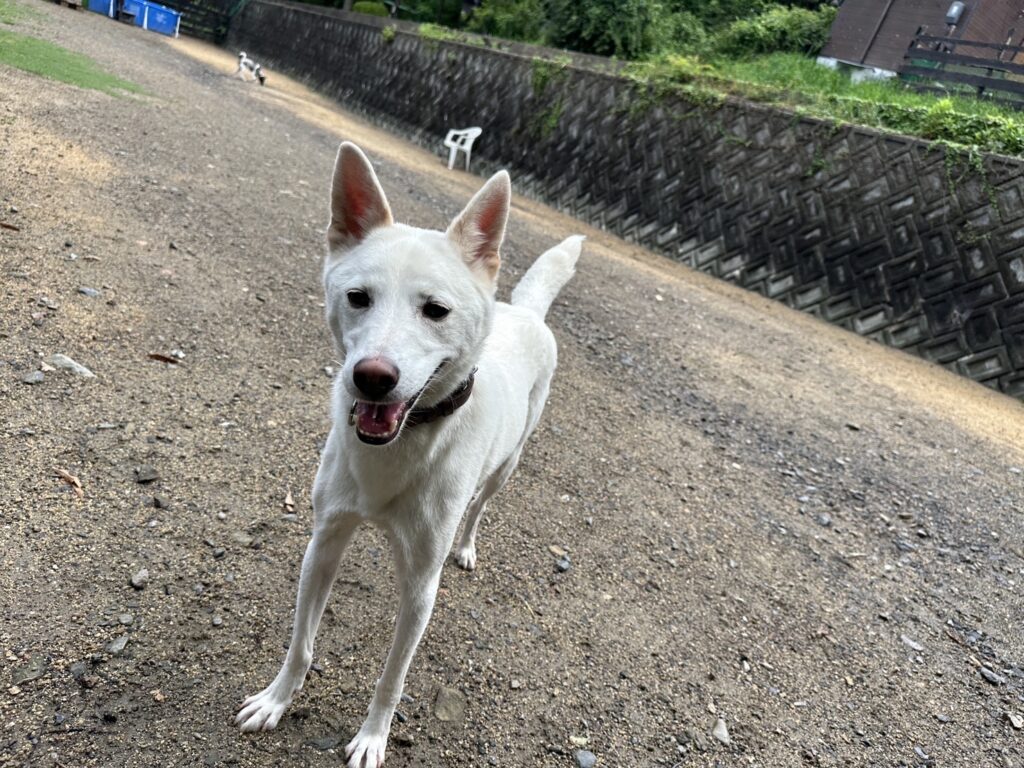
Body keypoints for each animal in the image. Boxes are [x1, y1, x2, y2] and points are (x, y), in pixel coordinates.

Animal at [235, 142, 582, 768]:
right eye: (357, 298)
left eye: (436, 310)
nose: (371, 377)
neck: (400, 445)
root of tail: (523, 311)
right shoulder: (325, 541)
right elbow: (301, 644)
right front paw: (276, 700)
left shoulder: (421, 585)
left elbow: (391, 679)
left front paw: (373, 738)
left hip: (507, 466)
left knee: (480, 507)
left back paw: (467, 545)